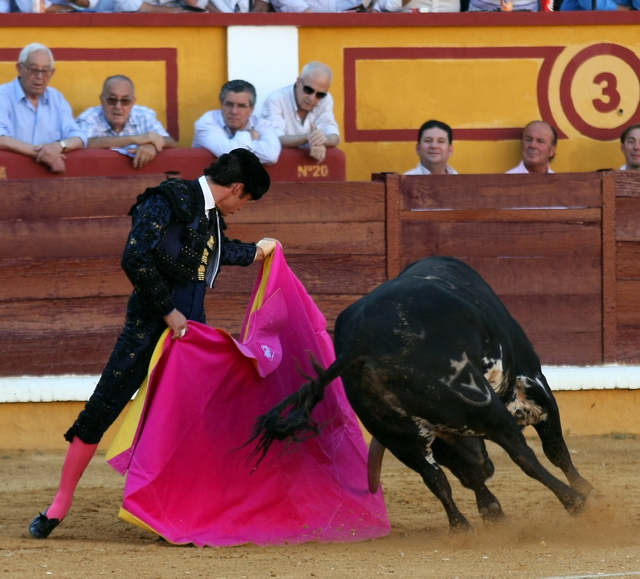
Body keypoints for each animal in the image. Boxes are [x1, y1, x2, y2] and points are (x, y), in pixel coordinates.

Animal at [250, 255, 596, 532]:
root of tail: (362, 340)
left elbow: (460, 472)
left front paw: (490, 510)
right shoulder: (533, 385)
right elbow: (555, 449)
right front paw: (591, 491)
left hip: (399, 435)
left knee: (435, 477)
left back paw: (462, 527)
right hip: (485, 408)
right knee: (522, 454)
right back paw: (576, 501)